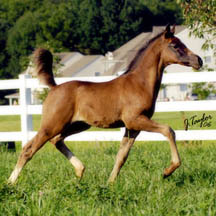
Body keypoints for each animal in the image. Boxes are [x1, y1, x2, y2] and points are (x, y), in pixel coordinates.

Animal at [7, 25, 202, 184]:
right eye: (175, 46)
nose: (198, 60)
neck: (139, 83)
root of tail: (54, 87)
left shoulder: (132, 127)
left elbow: (121, 156)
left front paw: (110, 183)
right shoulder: (135, 120)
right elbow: (168, 130)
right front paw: (168, 171)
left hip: (77, 125)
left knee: (57, 141)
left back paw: (80, 170)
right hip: (52, 125)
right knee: (28, 149)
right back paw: (11, 182)